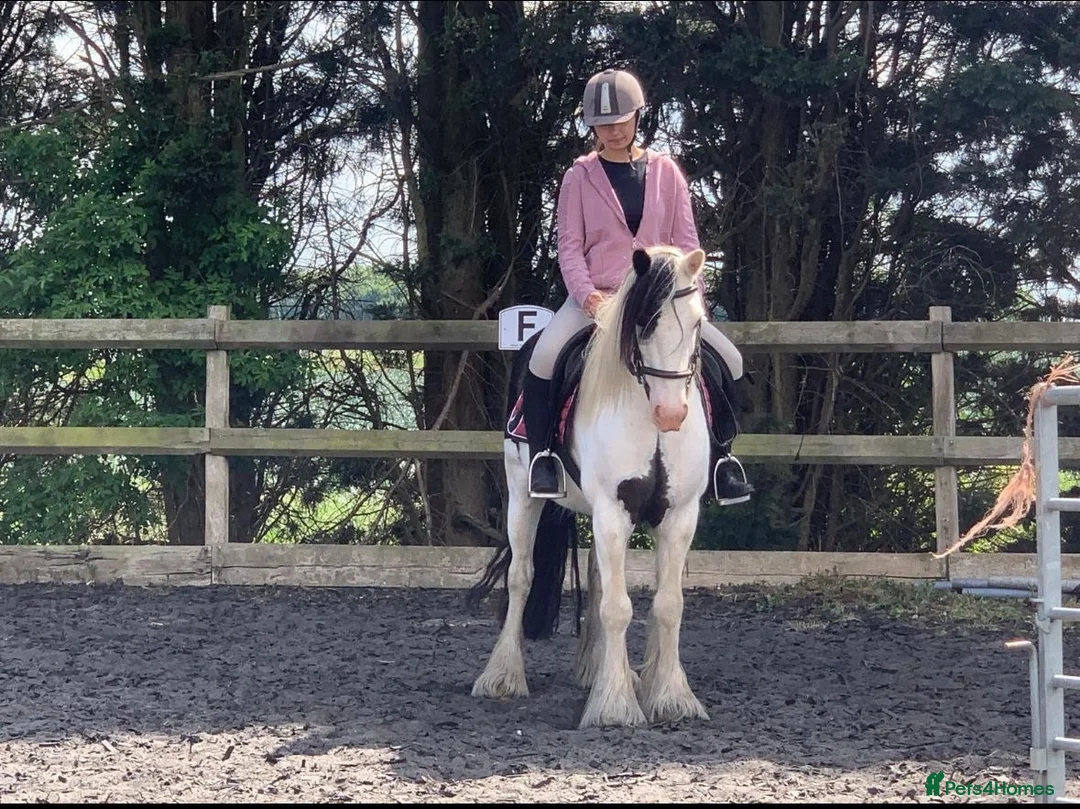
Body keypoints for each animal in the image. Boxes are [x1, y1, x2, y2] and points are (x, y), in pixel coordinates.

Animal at [469, 245, 714, 729]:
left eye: (698, 322)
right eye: (645, 322)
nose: (671, 414)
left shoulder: (679, 515)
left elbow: (668, 604)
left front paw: (671, 696)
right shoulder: (612, 511)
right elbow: (618, 608)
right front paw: (615, 706)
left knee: (599, 576)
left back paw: (596, 669)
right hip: (523, 496)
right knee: (521, 576)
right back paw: (502, 675)